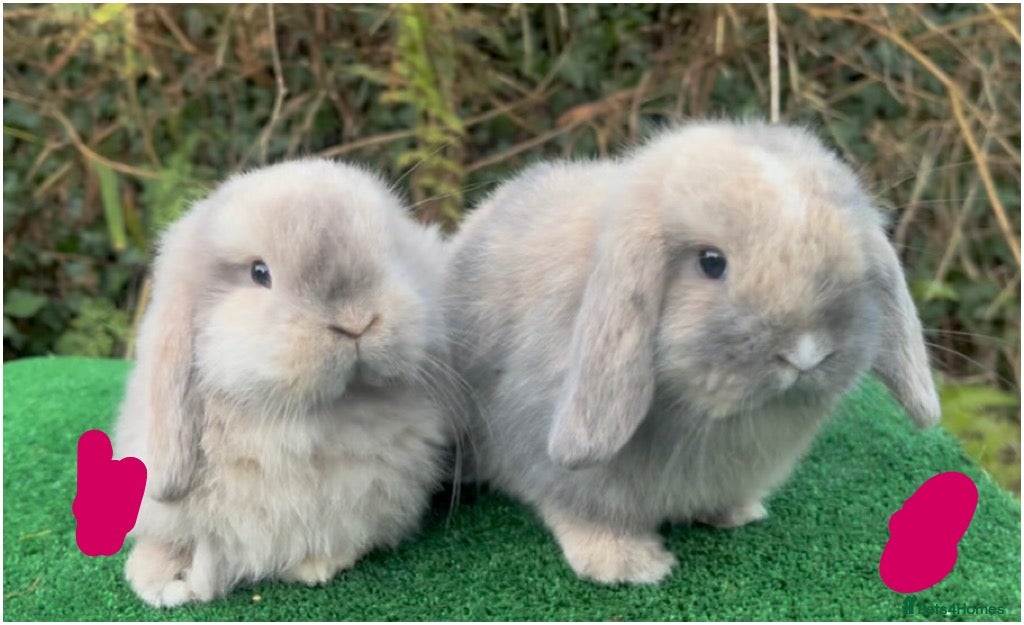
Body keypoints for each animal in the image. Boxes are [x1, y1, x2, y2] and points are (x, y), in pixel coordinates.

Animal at [114, 158, 454, 607]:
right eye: (260, 273)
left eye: (391, 253)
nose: (356, 321)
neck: (318, 418)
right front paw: (159, 580)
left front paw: (317, 566)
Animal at [445, 121, 941, 585]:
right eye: (711, 262)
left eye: (853, 260)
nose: (805, 353)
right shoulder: (563, 466)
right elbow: (584, 511)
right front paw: (627, 565)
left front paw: (736, 513)